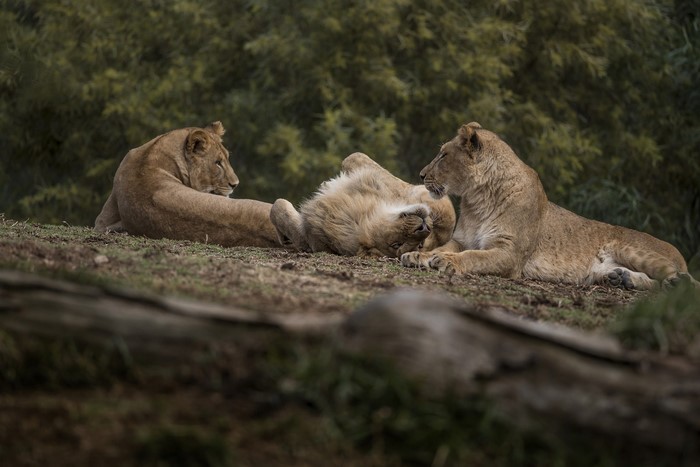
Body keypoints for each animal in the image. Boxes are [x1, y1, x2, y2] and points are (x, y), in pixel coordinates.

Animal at [401, 122, 696, 290]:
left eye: (443, 155)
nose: (421, 174)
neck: (477, 199)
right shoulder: (462, 239)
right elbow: (444, 247)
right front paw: (418, 256)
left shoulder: (509, 253)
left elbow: (474, 257)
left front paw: (446, 261)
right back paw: (620, 279)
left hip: (630, 248)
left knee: (690, 282)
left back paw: (676, 282)